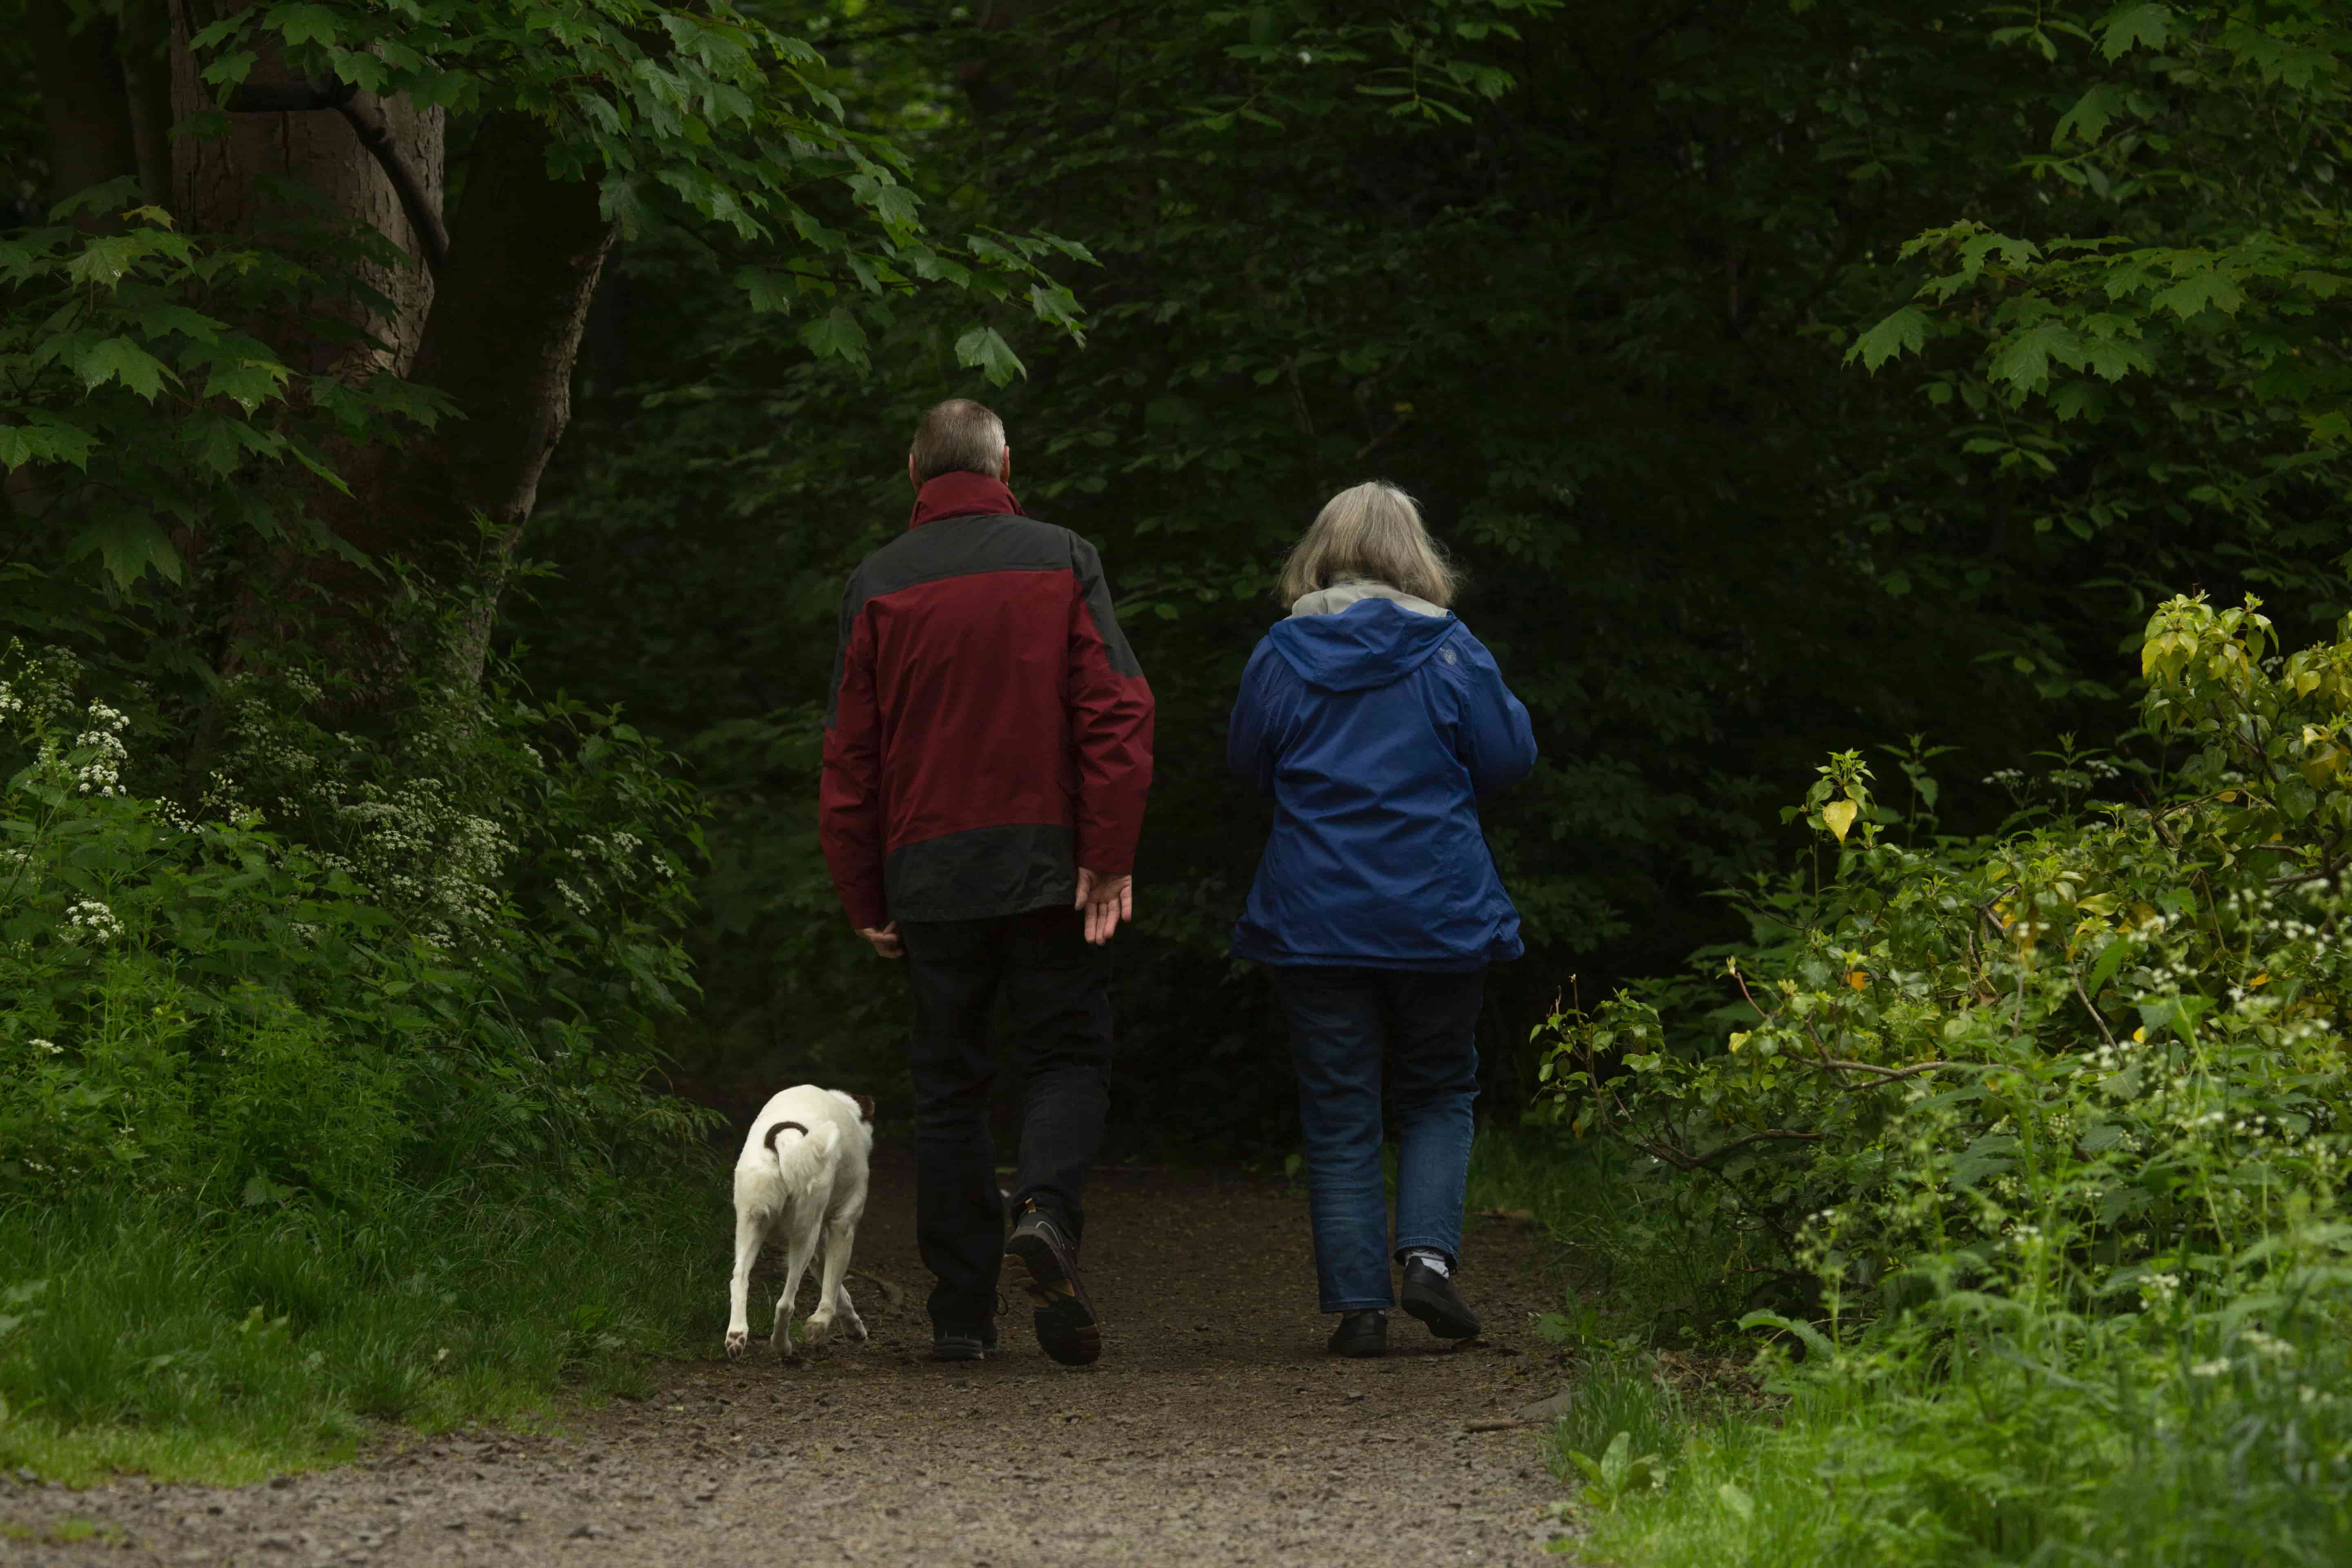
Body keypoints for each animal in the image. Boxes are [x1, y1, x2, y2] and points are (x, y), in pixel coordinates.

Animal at [724, 1086, 875, 1354]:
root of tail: (786, 1139)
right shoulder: (842, 1227)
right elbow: (831, 1291)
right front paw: (820, 1324)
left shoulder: (820, 1250)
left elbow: (840, 1292)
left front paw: (853, 1327)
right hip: (805, 1234)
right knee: (785, 1303)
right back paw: (782, 1346)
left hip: (751, 1225)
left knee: (739, 1278)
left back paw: (737, 1336)